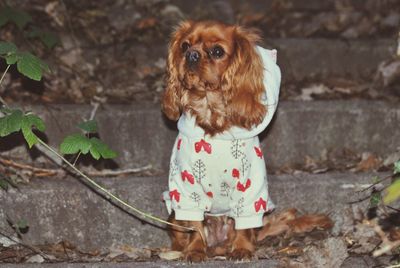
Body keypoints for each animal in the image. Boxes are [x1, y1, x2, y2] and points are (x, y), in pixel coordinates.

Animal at [162, 20, 282, 262]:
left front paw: (242, 249)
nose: (191, 55)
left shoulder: (250, 187)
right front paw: (195, 250)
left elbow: (245, 223)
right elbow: (195, 225)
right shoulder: (187, 188)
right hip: (174, 215)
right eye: (184, 45)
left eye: (217, 51)